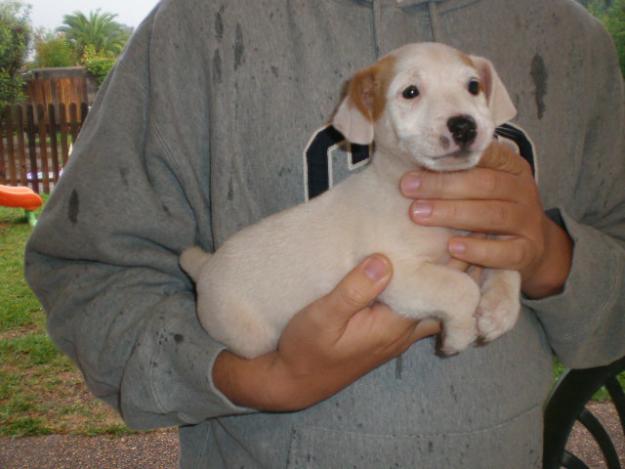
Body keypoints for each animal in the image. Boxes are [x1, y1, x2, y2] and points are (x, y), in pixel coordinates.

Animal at [182, 44, 520, 358]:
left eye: (473, 86)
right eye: (410, 92)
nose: (464, 125)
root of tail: (206, 267)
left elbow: (508, 264)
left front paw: (499, 310)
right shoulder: (398, 273)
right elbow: (461, 287)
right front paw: (459, 334)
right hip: (250, 338)